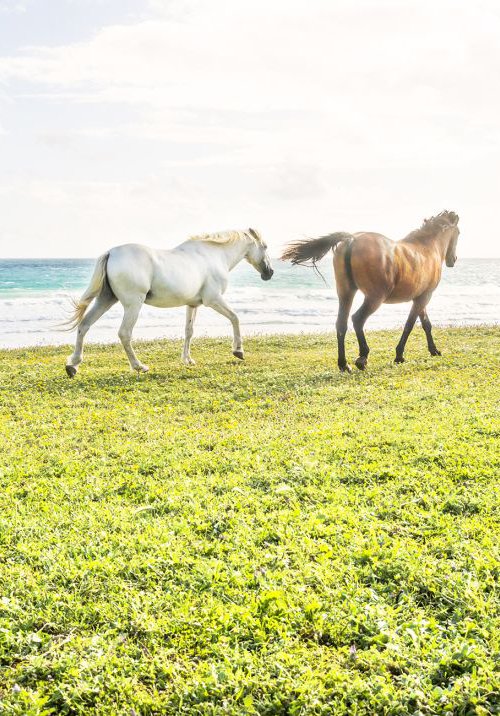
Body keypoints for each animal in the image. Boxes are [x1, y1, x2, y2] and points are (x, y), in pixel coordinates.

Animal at [65, 229, 274, 378]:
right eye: (265, 246)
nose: (269, 272)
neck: (214, 256)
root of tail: (111, 253)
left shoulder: (192, 305)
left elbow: (189, 331)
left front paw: (188, 360)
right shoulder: (213, 300)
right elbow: (235, 318)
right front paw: (238, 351)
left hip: (105, 300)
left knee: (84, 325)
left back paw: (72, 365)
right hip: (133, 305)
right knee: (124, 333)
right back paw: (139, 366)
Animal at [282, 210, 460, 372]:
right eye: (458, 232)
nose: (453, 260)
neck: (426, 248)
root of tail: (352, 239)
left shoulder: (420, 298)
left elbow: (426, 324)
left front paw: (434, 350)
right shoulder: (425, 297)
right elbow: (409, 325)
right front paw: (399, 356)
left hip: (346, 293)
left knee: (341, 323)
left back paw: (344, 364)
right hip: (375, 298)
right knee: (357, 319)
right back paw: (362, 358)